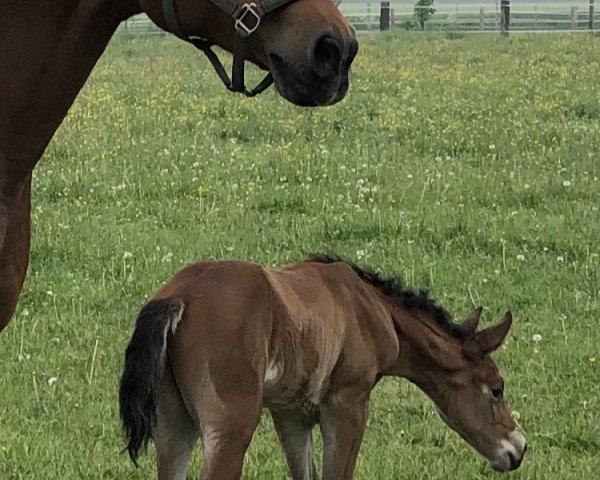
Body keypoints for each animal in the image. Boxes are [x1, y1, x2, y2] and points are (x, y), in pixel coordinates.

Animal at [119, 253, 528, 478]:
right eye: (496, 389)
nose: (519, 448)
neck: (369, 308)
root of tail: (180, 296)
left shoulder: (291, 416)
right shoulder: (348, 405)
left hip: (174, 428)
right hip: (230, 429)